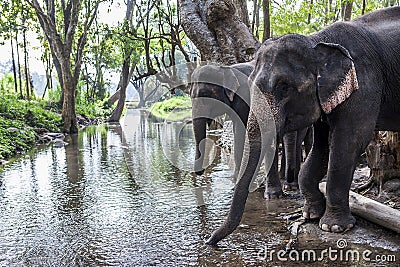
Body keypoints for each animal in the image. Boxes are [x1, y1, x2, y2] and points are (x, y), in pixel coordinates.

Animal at [191, 61, 312, 198]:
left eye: (205, 95)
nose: (200, 173)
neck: (225, 69)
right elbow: (239, 134)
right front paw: (238, 183)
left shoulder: (245, 97)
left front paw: (270, 194)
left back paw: (290, 185)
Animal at [206, 6, 400, 246]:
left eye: (284, 87)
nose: (209, 242)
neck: (317, 41)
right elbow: (323, 145)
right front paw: (311, 214)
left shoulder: (365, 85)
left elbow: (350, 141)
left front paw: (334, 227)